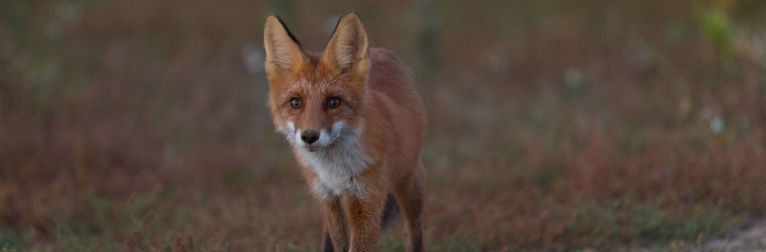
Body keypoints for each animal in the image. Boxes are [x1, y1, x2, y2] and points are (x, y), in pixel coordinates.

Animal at [262, 9, 432, 252]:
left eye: (334, 102)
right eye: (296, 103)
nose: (309, 136)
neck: (335, 172)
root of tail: (381, 51)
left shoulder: (366, 200)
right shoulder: (328, 198)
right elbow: (339, 244)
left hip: (410, 183)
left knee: (414, 232)